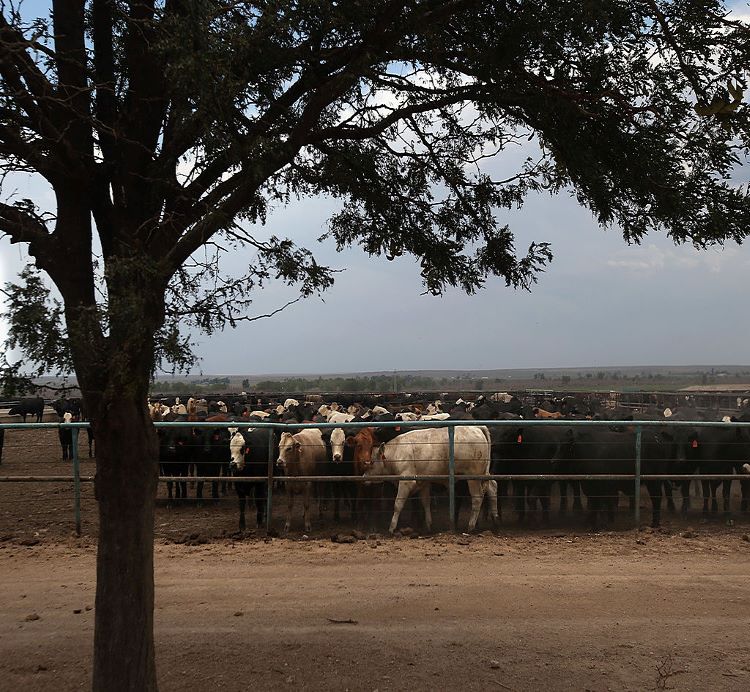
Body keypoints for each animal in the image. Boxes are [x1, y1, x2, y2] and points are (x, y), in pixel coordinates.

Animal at [364, 428, 500, 536]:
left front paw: (391, 528)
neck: (397, 452)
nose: (364, 477)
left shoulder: (406, 482)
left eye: (372, 462)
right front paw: (429, 525)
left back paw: (471, 526)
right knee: (492, 487)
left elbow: (398, 504)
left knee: (477, 497)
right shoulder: (423, 482)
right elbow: (426, 502)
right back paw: (495, 519)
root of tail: (477, 427)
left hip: (473, 477)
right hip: (483, 474)